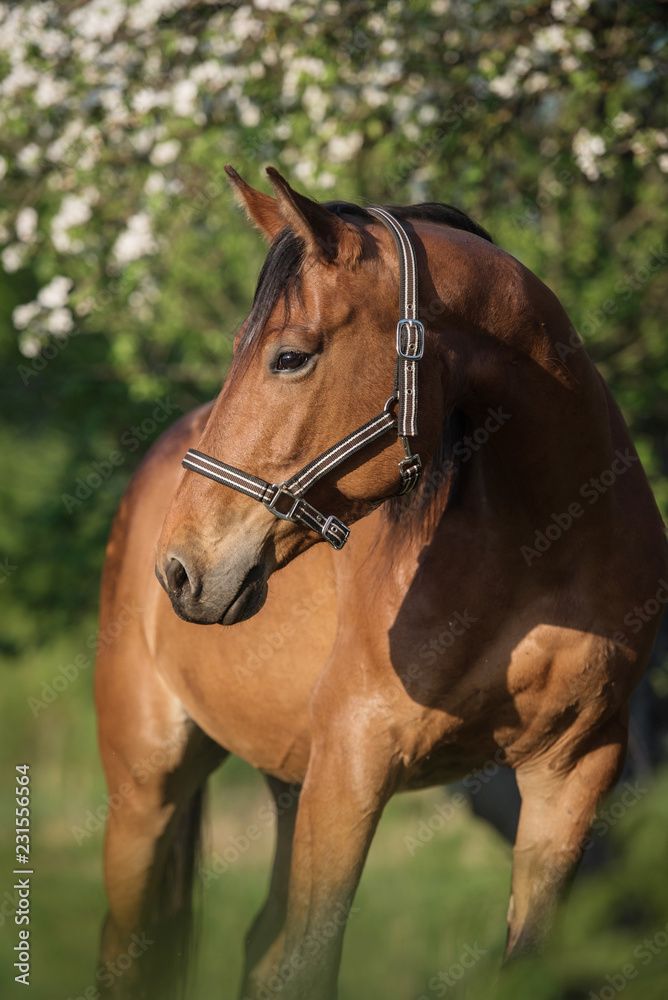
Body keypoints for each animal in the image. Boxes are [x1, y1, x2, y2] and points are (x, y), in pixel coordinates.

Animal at [94, 165, 667, 1000]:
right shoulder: (353, 769)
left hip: (285, 784)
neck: (544, 553)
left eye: (289, 357)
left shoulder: (573, 775)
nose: (179, 568)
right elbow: (311, 963)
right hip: (145, 790)